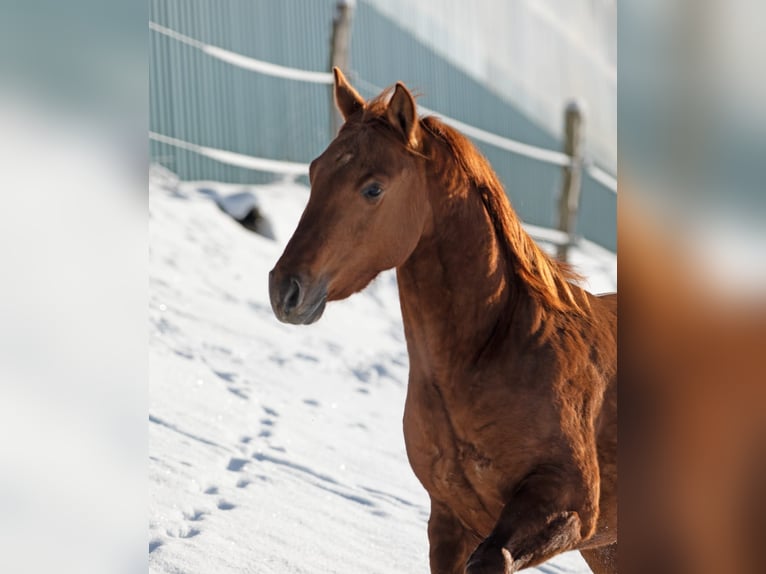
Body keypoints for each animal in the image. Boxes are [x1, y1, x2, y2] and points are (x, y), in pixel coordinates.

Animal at [269, 68, 617, 574]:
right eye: (316, 172)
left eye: (373, 187)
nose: (285, 289)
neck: (502, 346)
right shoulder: (448, 521)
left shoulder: (566, 507)